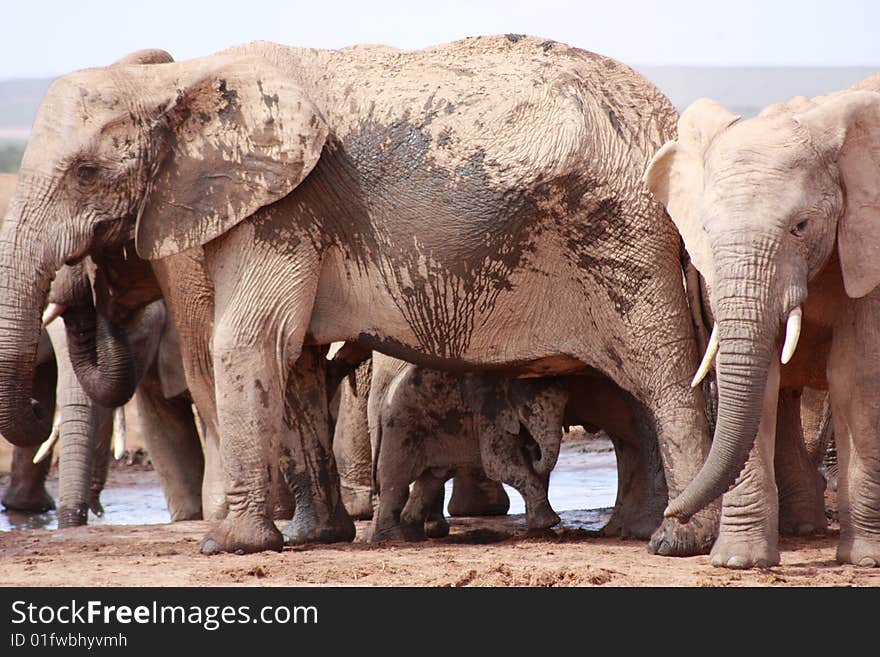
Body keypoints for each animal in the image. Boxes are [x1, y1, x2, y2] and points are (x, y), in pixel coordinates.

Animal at [370, 356, 564, 540]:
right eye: (529, 410)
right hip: (402, 427)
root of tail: (382, 403)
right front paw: (549, 523)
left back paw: (415, 537)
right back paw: (393, 538)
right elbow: (498, 465)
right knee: (397, 481)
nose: (536, 454)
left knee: (431, 479)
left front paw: (543, 527)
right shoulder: (489, 414)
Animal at [644, 70, 880, 564]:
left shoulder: (868, 247)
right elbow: (761, 381)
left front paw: (865, 559)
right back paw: (804, 526)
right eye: (705, 230)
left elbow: (855, 375)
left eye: (801, 226)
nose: (670, 517)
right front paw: (738, 562)